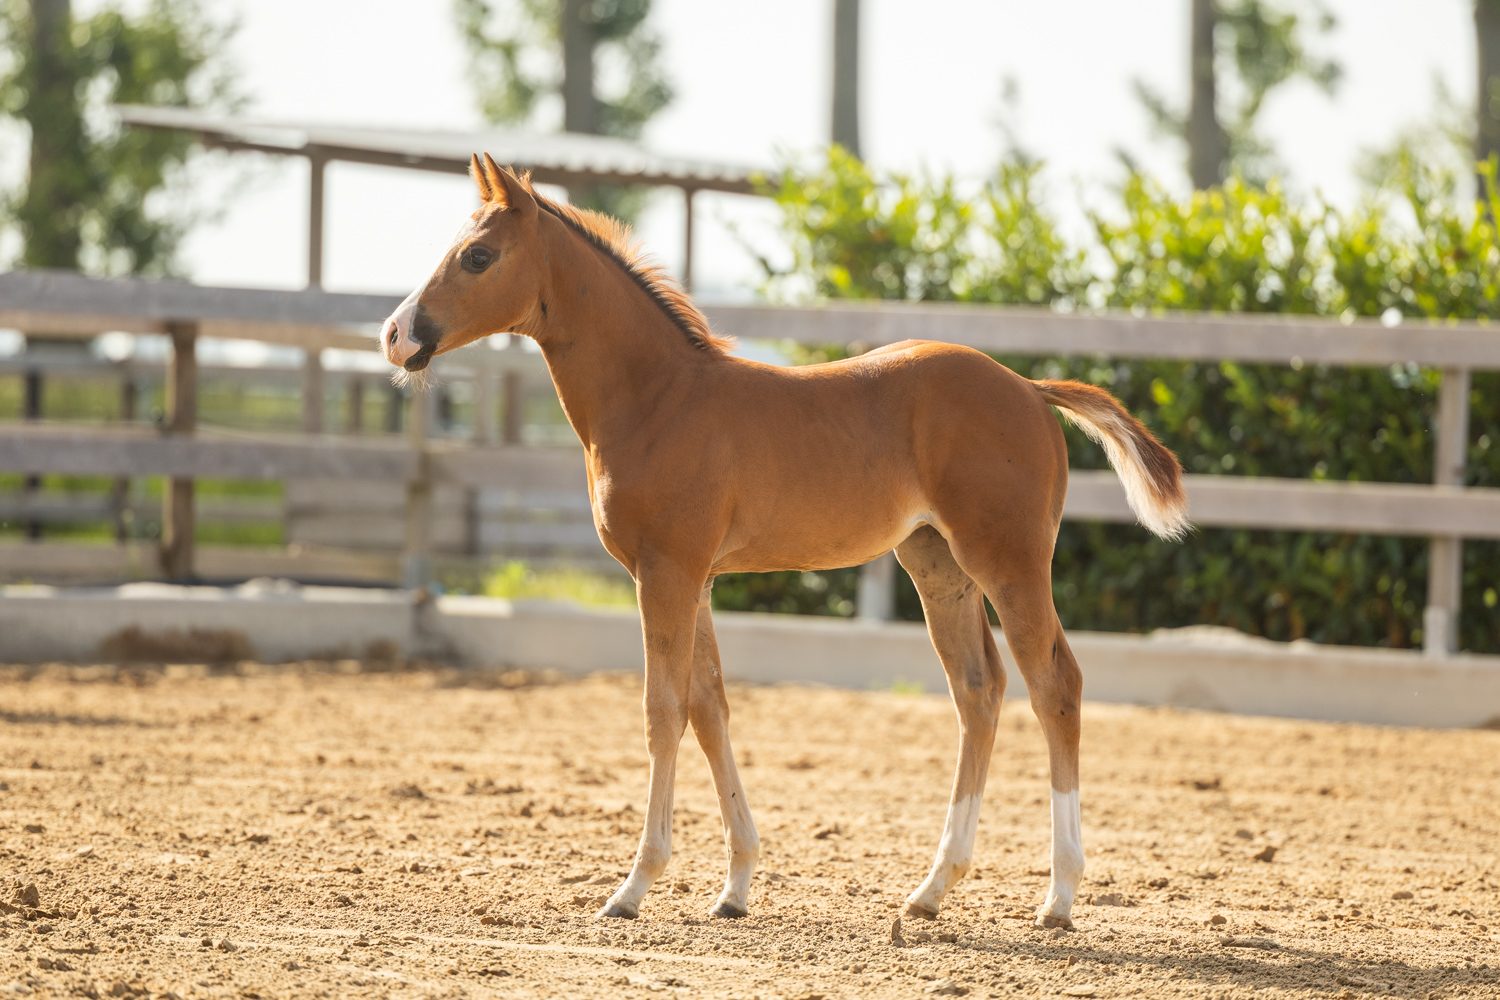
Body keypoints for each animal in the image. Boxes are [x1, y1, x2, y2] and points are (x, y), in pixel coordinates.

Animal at [381, 154, 1189, 927]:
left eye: (478, 256)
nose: (396, 335)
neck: (656, 399)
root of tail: (1029, 387)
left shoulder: (666, 571)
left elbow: (662, 711)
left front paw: (634, 886)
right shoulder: (697, 578)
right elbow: (710, 708)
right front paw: (735, 886)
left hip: (1008, 561)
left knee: (1056, 685)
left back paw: (1059, 897)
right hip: (937, 565)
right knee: (978, 689)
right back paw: (932, 890)